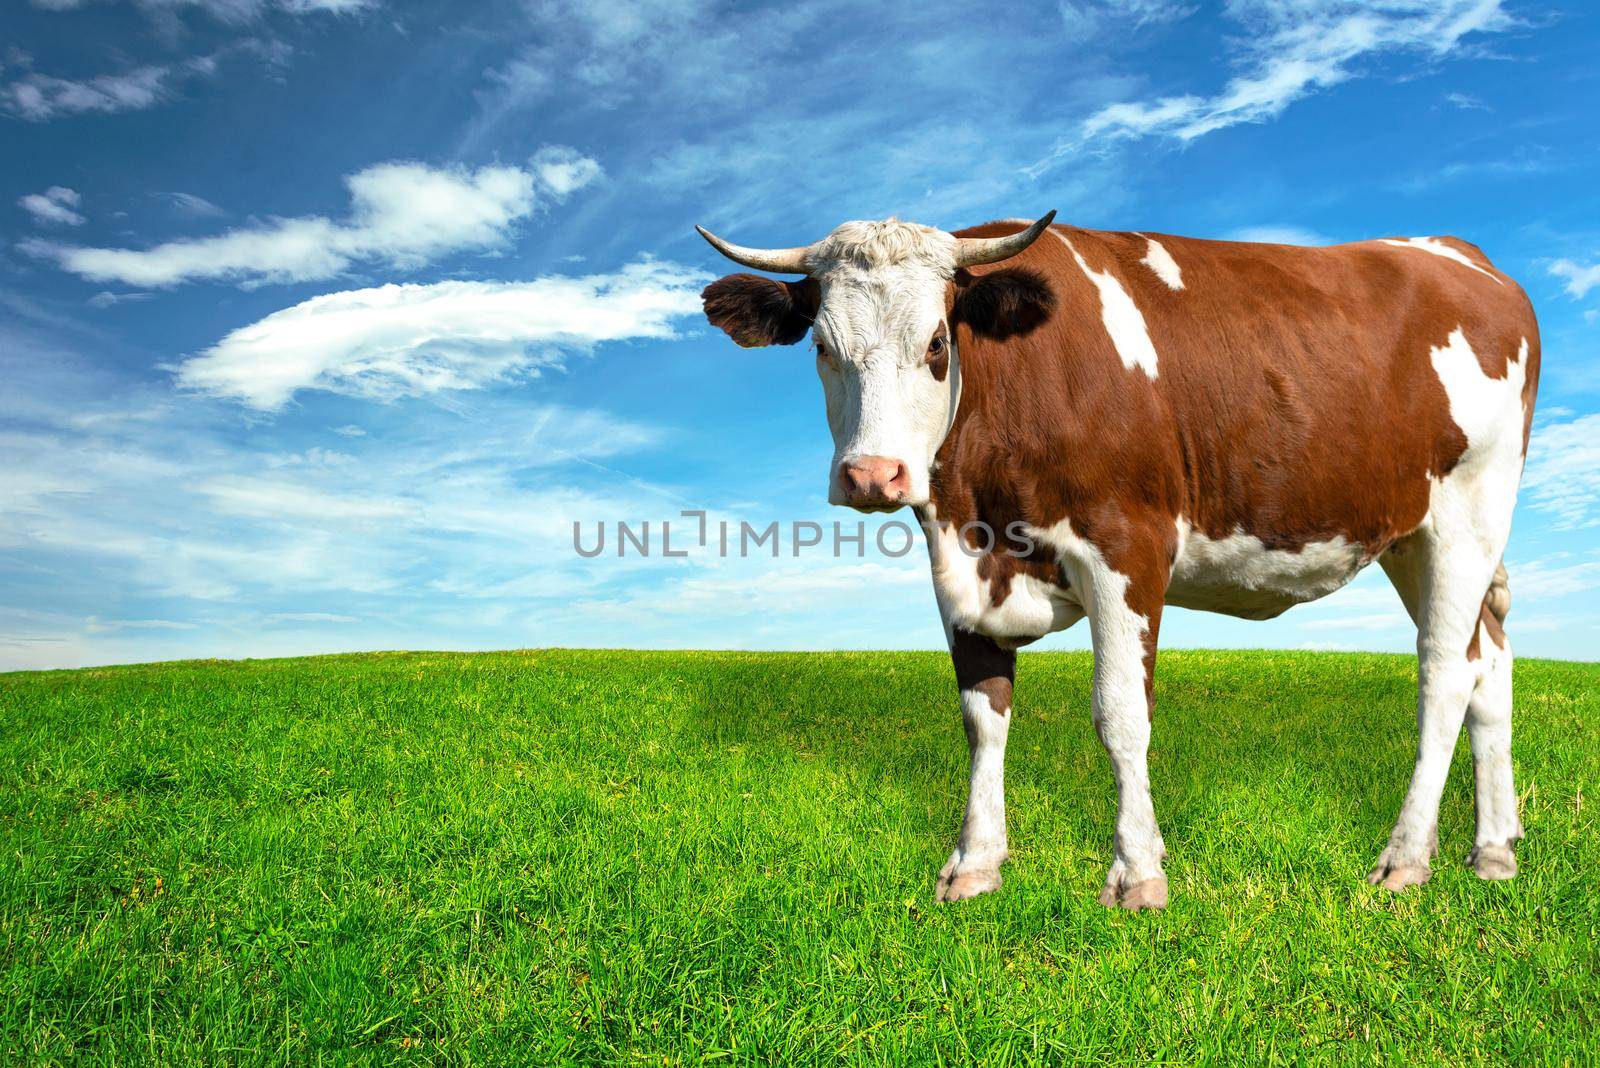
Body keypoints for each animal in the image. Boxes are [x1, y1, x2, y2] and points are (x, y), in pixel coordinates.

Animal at [697, 211, 1536, 908]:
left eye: (936, 344)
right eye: (822, 347)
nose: (873, 476)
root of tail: (1463, 254)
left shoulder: (1127, 547)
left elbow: (1121, 715)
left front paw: (1138, 873)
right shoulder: (958, 568)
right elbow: (982, 716)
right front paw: (975, 864)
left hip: (1470, 508)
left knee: (1444, 675)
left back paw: (1406, 859)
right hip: (1411, 535)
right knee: (1489, 661)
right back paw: (1493, 850)